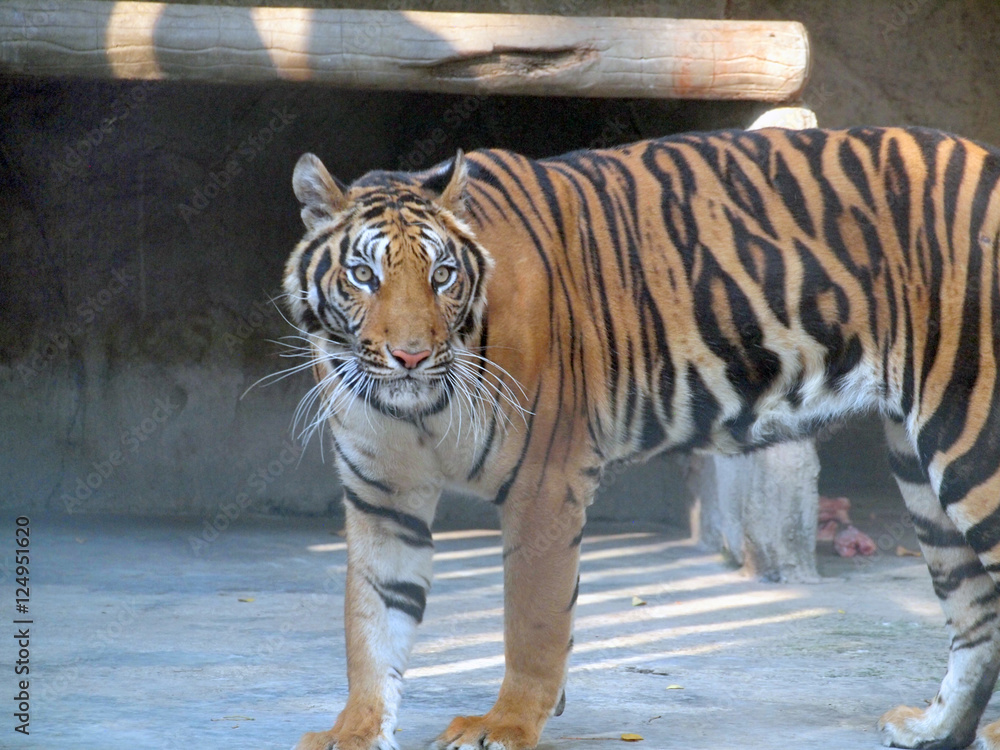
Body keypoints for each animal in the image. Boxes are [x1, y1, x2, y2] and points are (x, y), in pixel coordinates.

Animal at [282, 126, 1000, 750]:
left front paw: (505, 725)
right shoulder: (382, 497)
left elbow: (532, 621)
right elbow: (371, 623)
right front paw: (355, 732)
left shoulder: (543, 484)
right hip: (920, 473)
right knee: (975, 612)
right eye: (365, 275)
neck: (416, 409)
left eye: (442, 276)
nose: (409, 356)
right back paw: (933, 730)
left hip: (971, 439)